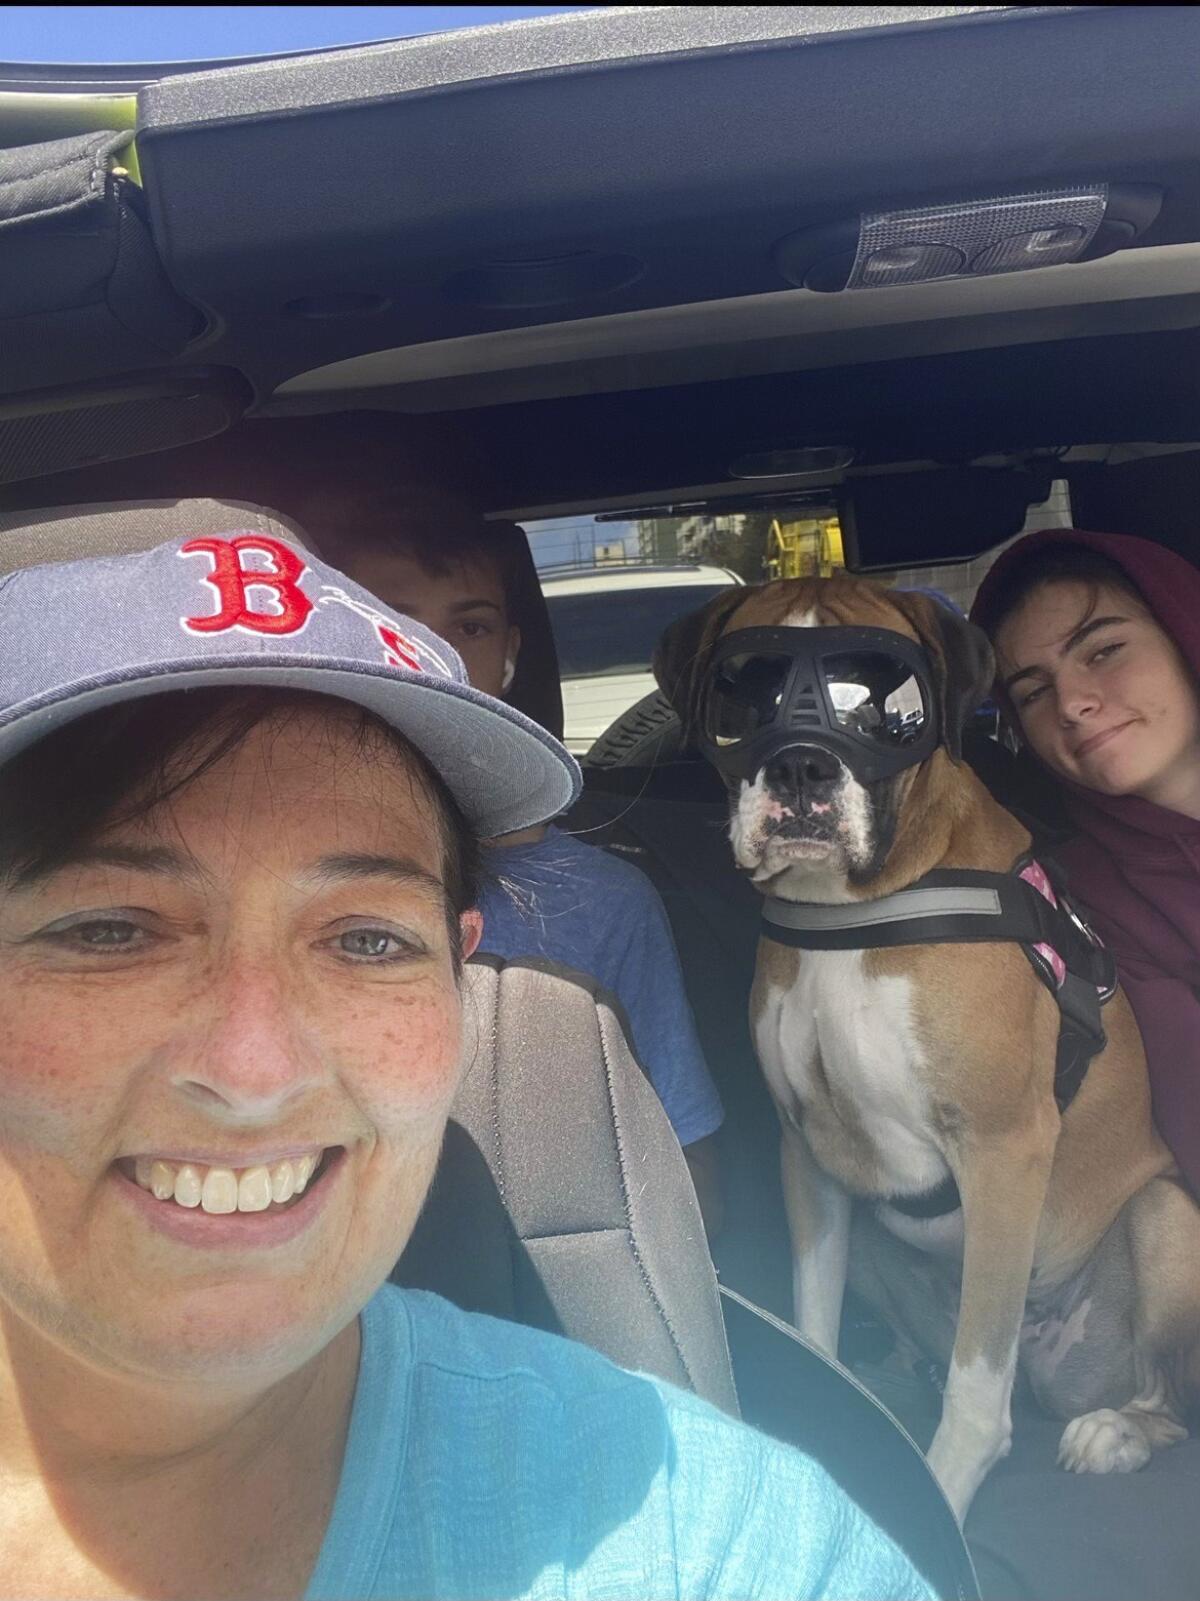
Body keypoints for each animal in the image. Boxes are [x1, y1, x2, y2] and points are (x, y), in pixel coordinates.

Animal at [659, 573, 1200, 1511]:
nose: (801, 762)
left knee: (1158, 1393)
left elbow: (979, 1390)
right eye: (744, 699)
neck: (855, 909)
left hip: (1165, 1220)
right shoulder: (811, 1151)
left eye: (882, 707)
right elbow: (813, 1322)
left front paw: (941, 1490)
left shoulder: (1003, 1147)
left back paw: (1119, 1431)